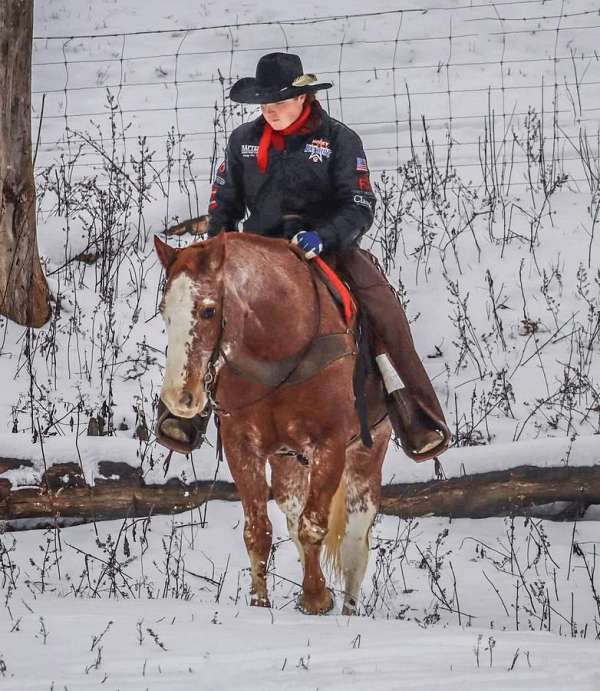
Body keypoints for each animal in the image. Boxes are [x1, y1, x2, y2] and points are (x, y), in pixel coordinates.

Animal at [152, 234, 392, 616]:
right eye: (164, 310)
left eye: (207, 310)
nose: (180, 397)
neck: (279, 347)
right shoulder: (242, 446)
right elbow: (259, 531)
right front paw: (259, 603)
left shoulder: (330, 446)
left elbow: (314, 526)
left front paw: (315, 598)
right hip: (286, 462)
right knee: (292, 515)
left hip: (367, 454)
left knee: (355, 538)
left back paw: (349, 608)